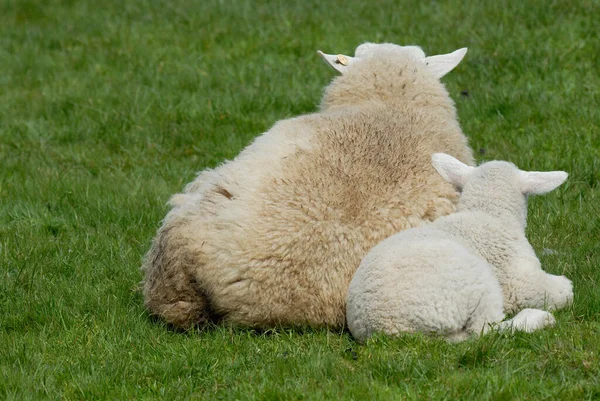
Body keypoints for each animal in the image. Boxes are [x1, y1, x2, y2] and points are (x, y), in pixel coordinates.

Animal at [344, 153, 576, 340]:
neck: (487, 212)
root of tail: (390, 329)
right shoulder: (517, 279)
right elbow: (560, 293)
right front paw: (564, 286)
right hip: (476, 285)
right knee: (484, 330)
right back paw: (538, 319)